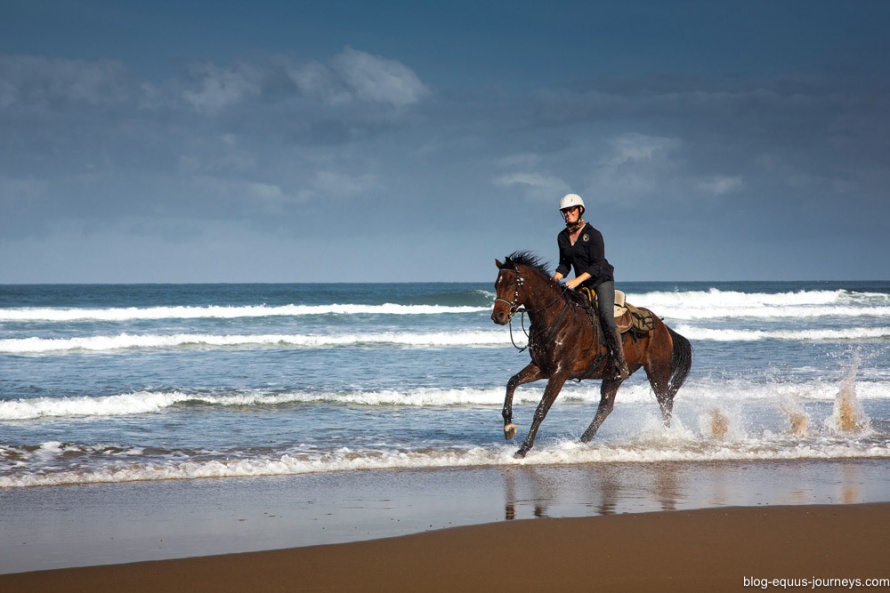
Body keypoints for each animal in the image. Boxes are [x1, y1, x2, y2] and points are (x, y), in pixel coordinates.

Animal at [490, 250, 692, 458]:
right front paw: (509, 428)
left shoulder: (559, 373)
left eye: (511, 284)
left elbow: (541, 409)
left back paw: (665, 436)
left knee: (665, 403)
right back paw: (582, 440)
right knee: (606, 407)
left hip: (657, 372)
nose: (498, 316)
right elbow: (512, 382)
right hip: (613, 376)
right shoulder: (541, 368)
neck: (555, 318)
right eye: (496, 285)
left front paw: (523, 449)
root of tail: (663, 327)